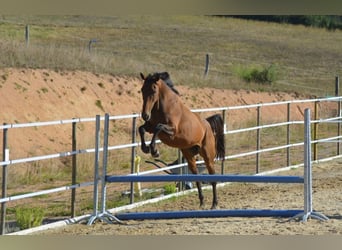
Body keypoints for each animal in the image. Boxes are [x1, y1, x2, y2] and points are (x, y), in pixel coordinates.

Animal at [138, 71, 226, 208]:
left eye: (153, 89)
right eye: (142, 89)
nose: (145, 115)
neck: (163, 107)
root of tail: (207, 123)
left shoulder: (172, 131)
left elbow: (159, 127)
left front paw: (154, 151)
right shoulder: (150, 127)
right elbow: (141, 129)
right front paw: (145, 148)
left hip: (208, 156)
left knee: (213, 178)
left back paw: (214, 204)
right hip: (189, 155)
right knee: (196, 176)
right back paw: (201, 202)